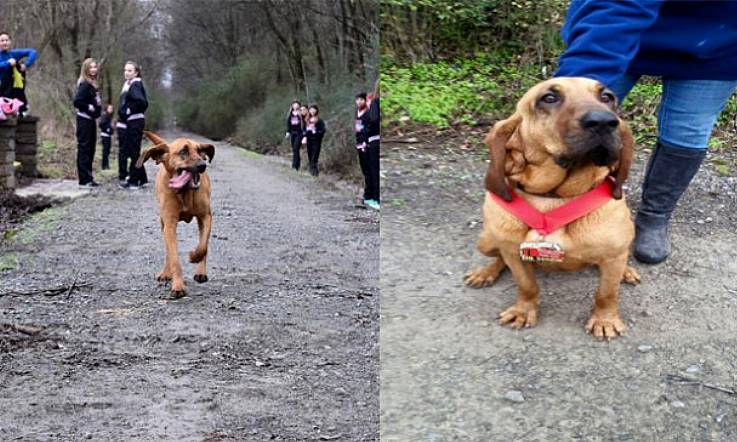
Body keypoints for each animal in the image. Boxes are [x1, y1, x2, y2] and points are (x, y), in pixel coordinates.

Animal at [137, 131, 214, 296]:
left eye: (200, 150)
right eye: (183, 151)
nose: (203, 165)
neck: (184, 192)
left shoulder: (206, 217)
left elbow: (203, 246)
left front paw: (194, 256)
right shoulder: (170, 224)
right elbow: (174, 257)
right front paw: (178, 285)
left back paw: (201, 272)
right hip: (163, 224)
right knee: (168, 250)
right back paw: (166, 273)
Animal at [462, 77, 640, 338]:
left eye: (607, 97)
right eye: (549, 98)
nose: (604, 122)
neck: (554, 196)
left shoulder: (613, 256)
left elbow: (606, 293)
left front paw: (604, 320)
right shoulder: (514, 253)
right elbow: (526, 286)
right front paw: (523, 311)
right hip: (485, 241)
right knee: (499, 258)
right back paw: (485, 272)